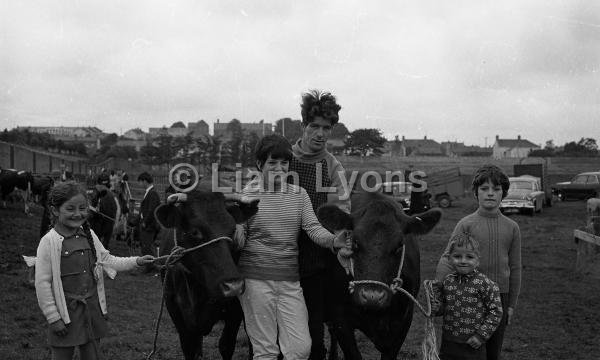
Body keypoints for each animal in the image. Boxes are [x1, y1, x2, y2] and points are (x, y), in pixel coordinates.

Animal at [155, 186, 258, 360]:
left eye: (232, 230)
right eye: (195, 232)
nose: (233, 286)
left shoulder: (235, 310)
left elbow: (226, 345)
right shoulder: (175, 312)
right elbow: (190, 349)